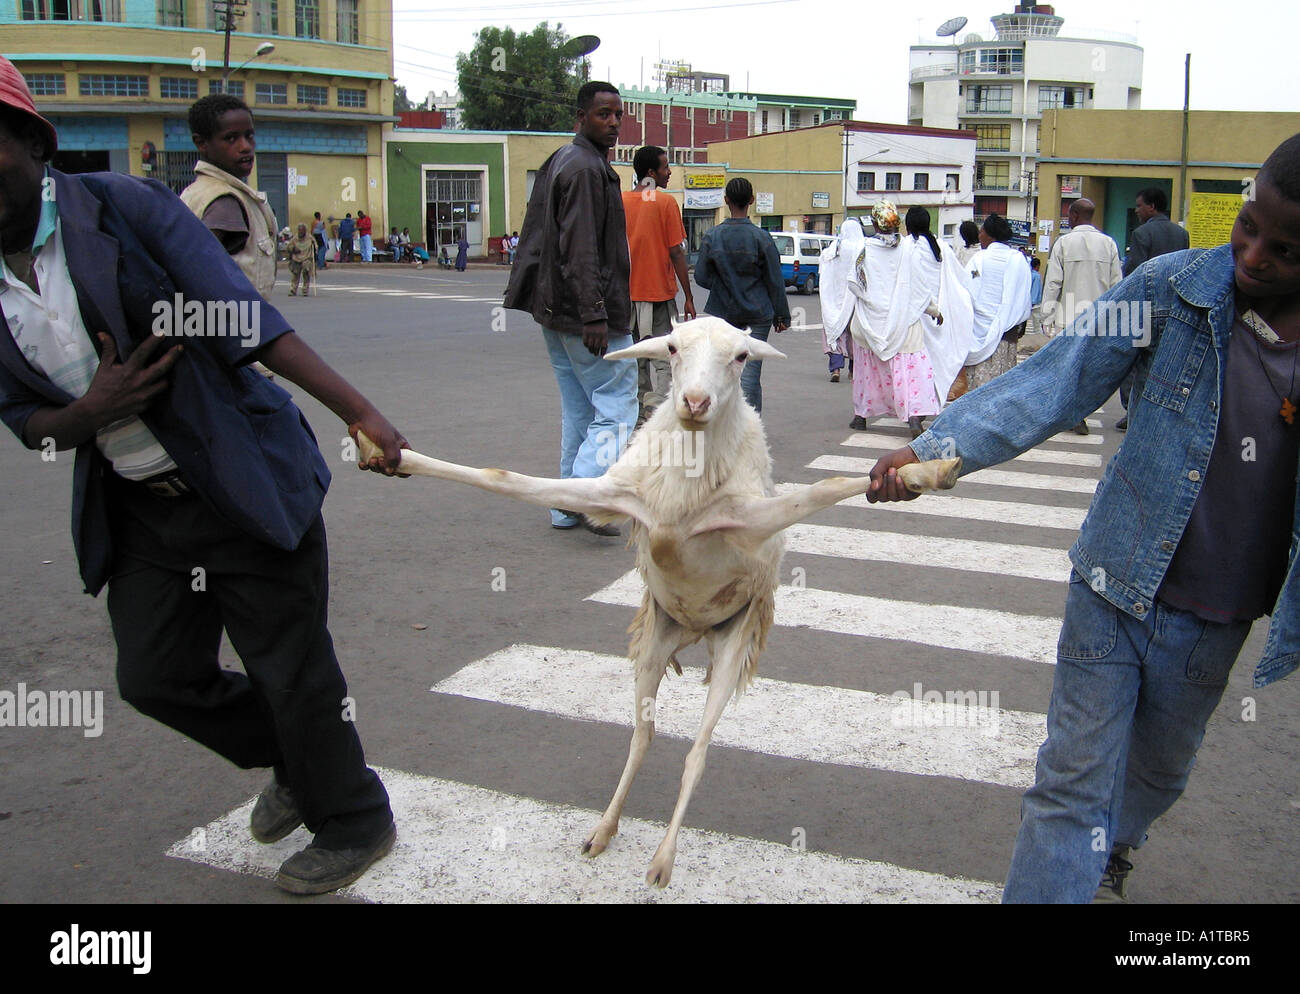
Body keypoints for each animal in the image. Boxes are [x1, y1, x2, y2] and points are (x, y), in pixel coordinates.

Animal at [356, 315, 956, 883]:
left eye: (741, 356)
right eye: (670, 347)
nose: (694, 402)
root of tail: (695, 630)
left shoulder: (749, 521)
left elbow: (825, 489)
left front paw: (925, 470)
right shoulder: (614, 495)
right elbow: (504, 478)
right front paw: (389, 454)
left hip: (734, 642)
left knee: (698, 751)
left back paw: (663, 859)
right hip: (653, 642)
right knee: (643, 736)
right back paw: (603, 829)